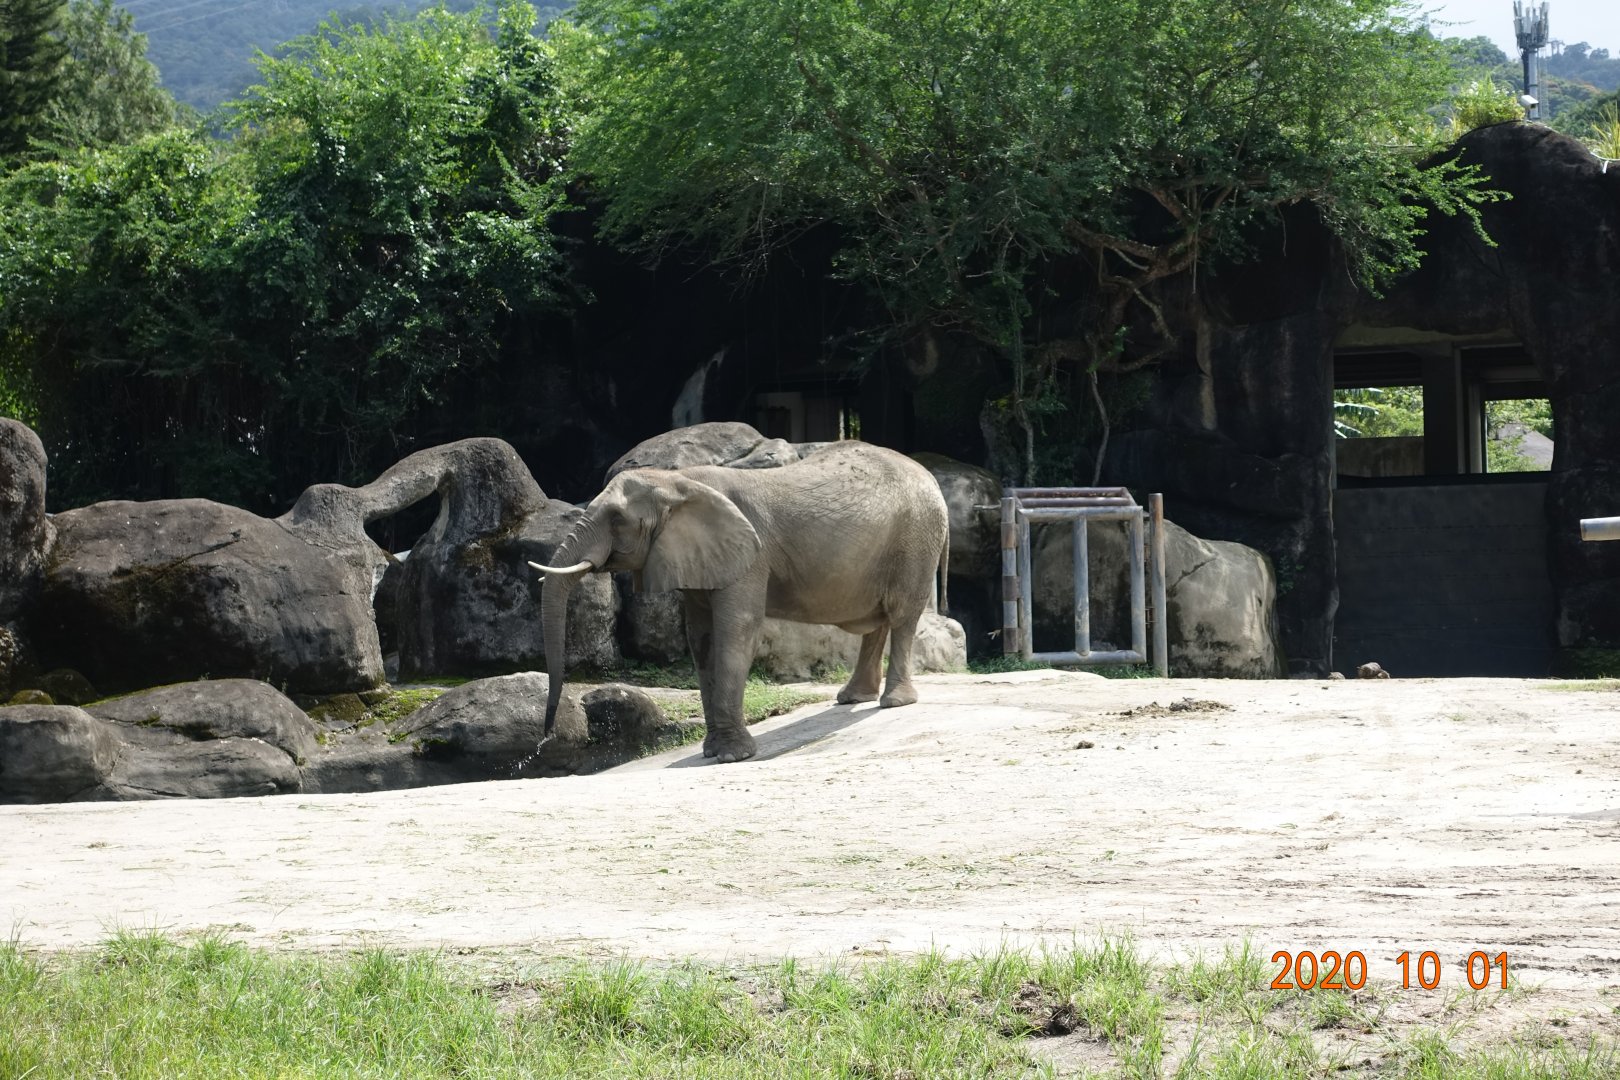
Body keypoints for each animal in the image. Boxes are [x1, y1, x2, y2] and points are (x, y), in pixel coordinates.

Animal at [530, 441, 950, 763]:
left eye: (617, 519)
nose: (545, 735)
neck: (680, 481)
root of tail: (931, 476)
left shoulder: (749, 555)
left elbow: (737, 630)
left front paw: (732, 756)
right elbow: (701, 638)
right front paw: (712, 752)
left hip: (916, 539)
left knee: (902, 615)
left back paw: (895, 702)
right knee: (877, 619)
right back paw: (851, 698)